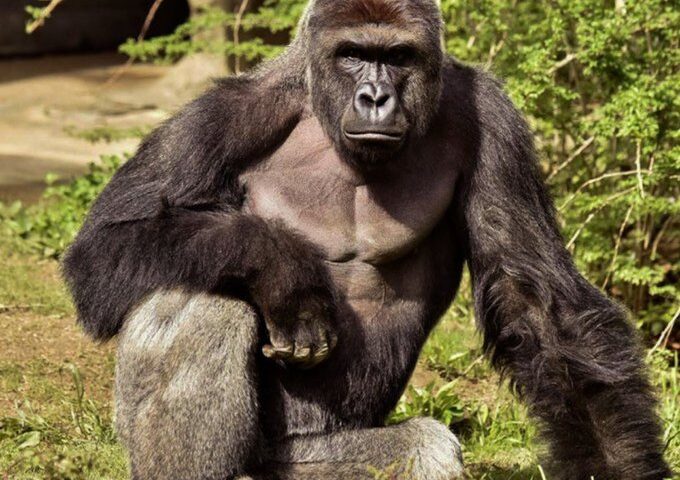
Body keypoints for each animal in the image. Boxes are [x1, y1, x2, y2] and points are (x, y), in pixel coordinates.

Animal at [62, 0, 672, 479]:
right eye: (352, 53)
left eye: (398, 57)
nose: (375, 97)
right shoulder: (222, 116)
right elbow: (102, 248)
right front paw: (282, 268)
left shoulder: (494, 123)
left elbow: (540, 305)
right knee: (201, 295)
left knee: (426, 453)